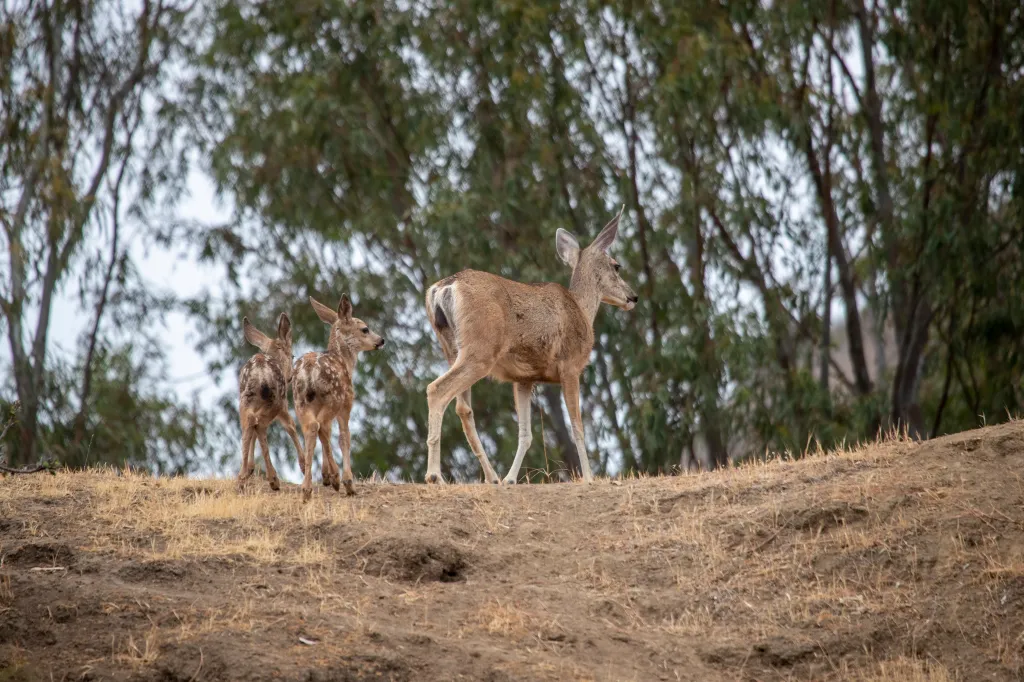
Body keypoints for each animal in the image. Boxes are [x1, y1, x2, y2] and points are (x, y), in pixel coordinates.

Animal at [237, 313, 306, 491]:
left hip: (245, 400)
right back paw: (273, 479)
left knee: (250, 424)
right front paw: (303, 465)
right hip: (275, 400)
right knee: (260, 425)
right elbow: (290, 426)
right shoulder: (283, 404)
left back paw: (241, 477)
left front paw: (250, 469)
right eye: (292, 355)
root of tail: (261, 374)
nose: (290, 376)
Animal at [292, 294, 385, 502]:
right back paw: (335, 479)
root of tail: (308, 370)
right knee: (321, 428)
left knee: (312, 428)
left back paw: (307, 488)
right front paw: (348, 482)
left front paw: (327, 476)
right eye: (365, 328)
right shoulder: (347, 404)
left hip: (300, 401)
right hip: (333, 398)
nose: (381, 340)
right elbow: (344, 437)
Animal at [423, 206, 637, 485]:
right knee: (437, 390)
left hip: (452, 348)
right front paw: (589, 478)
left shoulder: (524, 378)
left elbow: (525, 434)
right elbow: (577, 427)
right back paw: (434, 475)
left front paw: (511, 479)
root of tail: (443, 288)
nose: (633, 297)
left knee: (463, 408)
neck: (581, 309)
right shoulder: (570, 366)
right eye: (617, 266)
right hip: (480, 349)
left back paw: (492, 477)